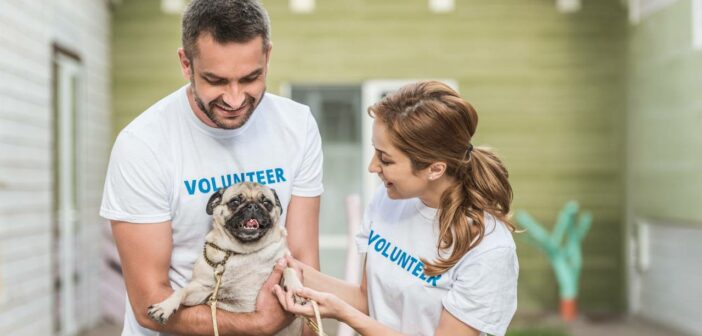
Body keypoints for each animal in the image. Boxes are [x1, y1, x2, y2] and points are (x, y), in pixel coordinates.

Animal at [147, 182, 304, 334]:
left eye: (267, 203)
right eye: (235, 202)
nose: (253, 206)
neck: (244, 251)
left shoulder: (282, 263)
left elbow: (288, 269)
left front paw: (296, 290)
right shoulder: (201, 290)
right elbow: (181, 291)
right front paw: (164, 307)